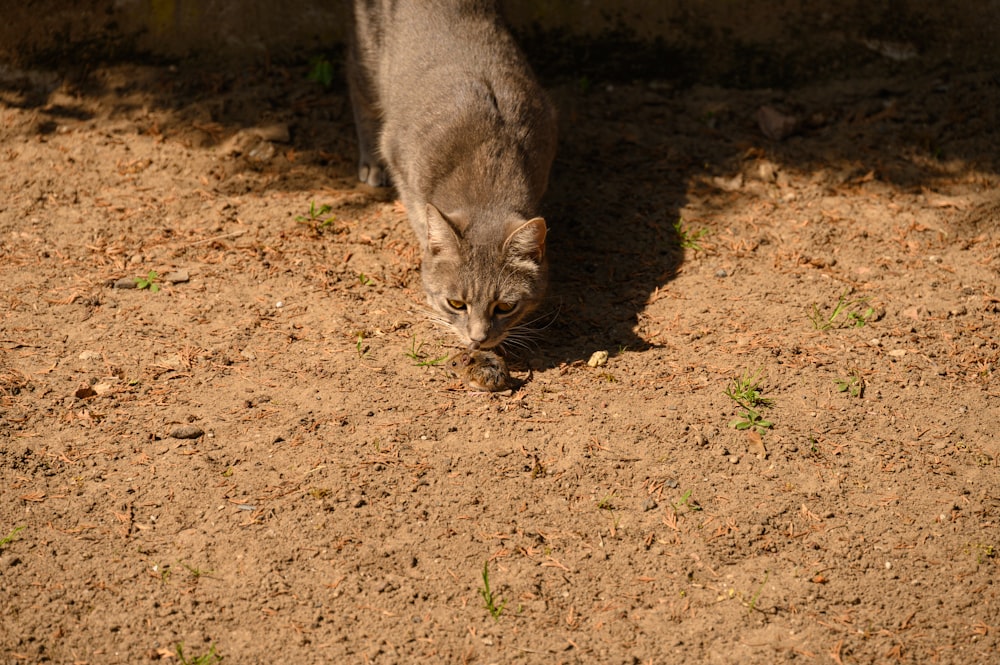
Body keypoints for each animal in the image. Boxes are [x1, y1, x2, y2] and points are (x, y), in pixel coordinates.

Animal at [348, 0, 560, 350]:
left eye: (505, 306)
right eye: (456, 304)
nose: (478, 339)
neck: (489, 165)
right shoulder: (400, 161)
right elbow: (420, 218)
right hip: (368, 58)